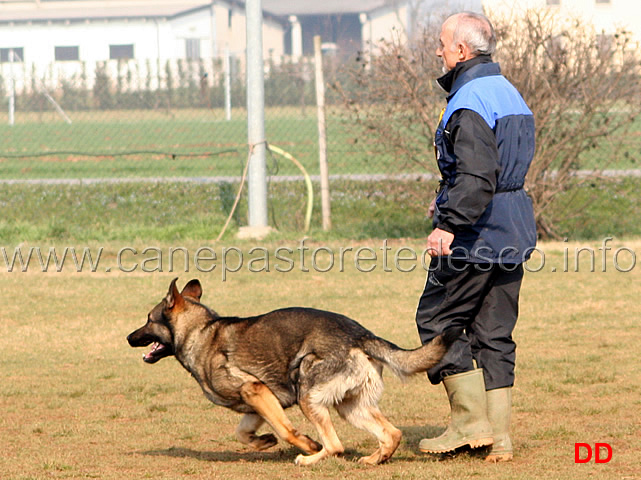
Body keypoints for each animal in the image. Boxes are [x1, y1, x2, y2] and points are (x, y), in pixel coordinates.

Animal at [127, 278, 458, 464]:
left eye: (148, 320)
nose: (129, 337)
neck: (201, 331)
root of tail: (360, 335)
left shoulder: (256, 391)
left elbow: (285, 429)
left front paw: (306, 444)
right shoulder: (255, 404)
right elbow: (242, 433)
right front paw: (263, 442)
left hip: (308, 395)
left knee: (335, 445)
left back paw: (310, 459)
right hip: (350, 407)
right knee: (392, 433)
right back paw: (375, 459)